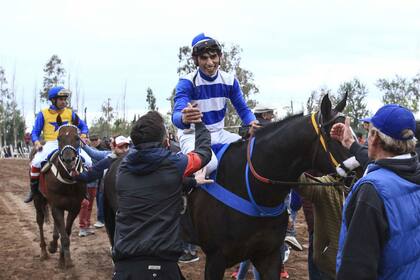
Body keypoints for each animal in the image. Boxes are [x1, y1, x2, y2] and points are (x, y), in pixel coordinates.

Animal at [33, 125, 86, 270]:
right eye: (59, 138)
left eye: (77, 138)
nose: (68, 160)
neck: (67, 181)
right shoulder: (57, 206)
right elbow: (64, 235)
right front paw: (66, 261)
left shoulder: (75, 208)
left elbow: (66, 232)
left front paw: (63, 258)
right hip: (38, 198)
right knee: (40, 220)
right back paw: (44, 251)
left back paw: (52, 244)